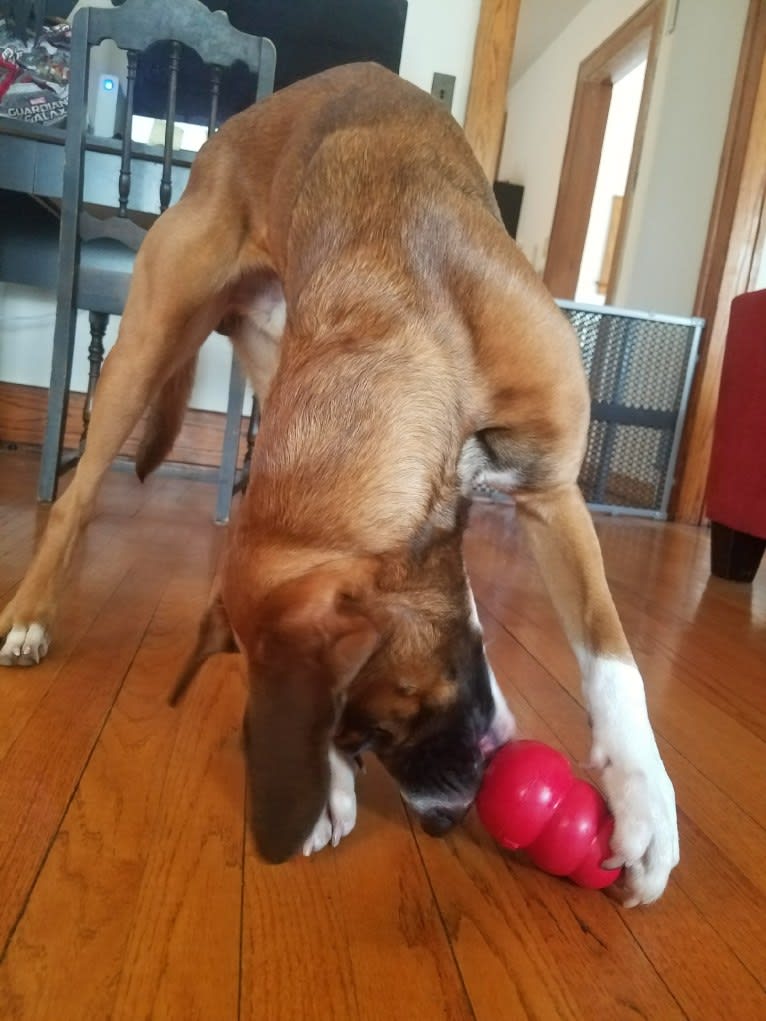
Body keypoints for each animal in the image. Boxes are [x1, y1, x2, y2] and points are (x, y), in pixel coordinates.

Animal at [3, 61, 682, 902]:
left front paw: (643, 799)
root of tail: (220, 139)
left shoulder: (551, 489)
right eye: (364, 732)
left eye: (384, 725)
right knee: (74, 500)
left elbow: (609, 651)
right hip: (146, 343)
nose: (438, 823)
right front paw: (325, 783)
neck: (402, 326)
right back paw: (29, 616)